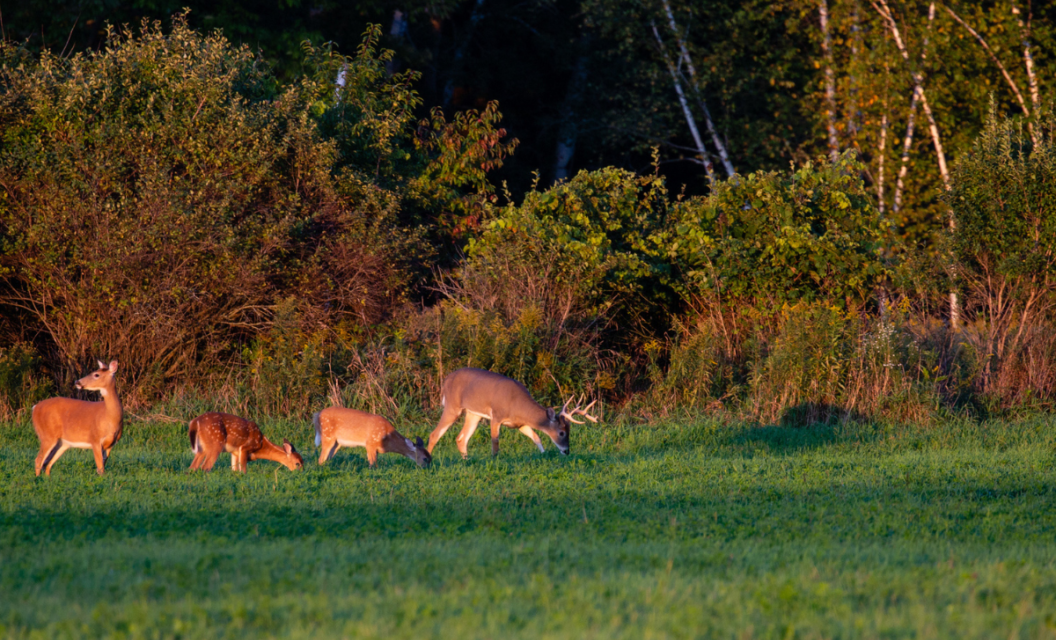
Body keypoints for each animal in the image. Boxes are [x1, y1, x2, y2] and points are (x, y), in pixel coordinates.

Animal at [426, 365, 595, 460]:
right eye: (561, 432)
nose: (567, 451)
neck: (517, 404)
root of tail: (445, 380)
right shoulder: (496, 416)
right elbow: (495, 441)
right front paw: (495, 460)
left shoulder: (519, 424)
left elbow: (536, 437)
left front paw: (543, 454)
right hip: (452, 407)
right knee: (434, 434)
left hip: (474, 414)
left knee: (461, 438)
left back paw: (466, 461)